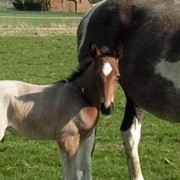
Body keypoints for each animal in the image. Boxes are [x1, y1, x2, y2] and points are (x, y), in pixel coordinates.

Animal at [0, 43, 121, 179]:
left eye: (117, 76)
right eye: (95, 74)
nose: (107, 107)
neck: (79, 96)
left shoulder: (86, 139)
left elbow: (85, 172)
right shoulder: (68, 140)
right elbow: (71, 175)